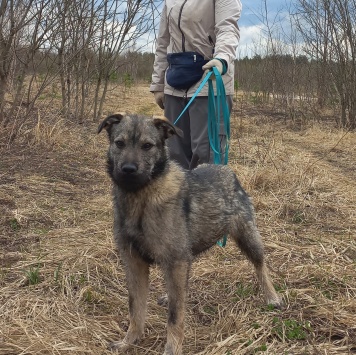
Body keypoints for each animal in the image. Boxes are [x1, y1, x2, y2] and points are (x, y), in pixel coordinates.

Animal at [97, 114, 280, 355]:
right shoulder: (135, 263)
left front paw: (172, 348)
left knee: (261, 266)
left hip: (247, 238)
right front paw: (129, 341)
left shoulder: (175, 261)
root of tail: (226, 170)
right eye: (119, 143)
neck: (141, 198)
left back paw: (272, 296)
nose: (128, 169)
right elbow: (136, 308)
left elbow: (175, 315)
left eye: (147, 146)